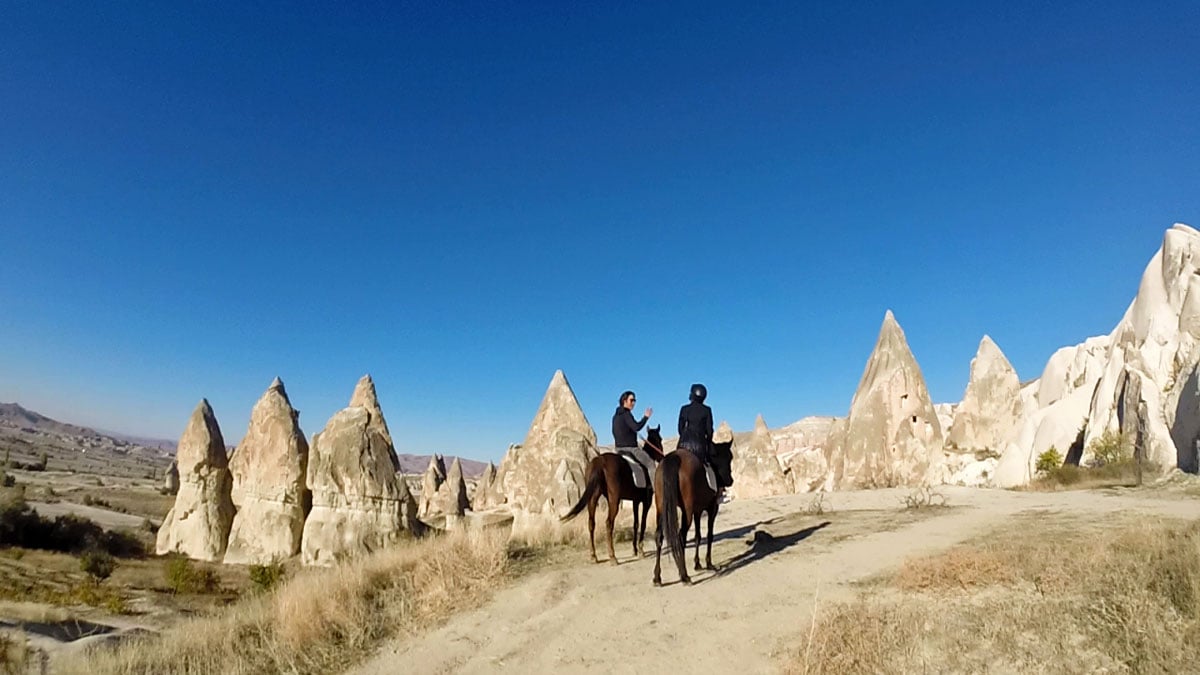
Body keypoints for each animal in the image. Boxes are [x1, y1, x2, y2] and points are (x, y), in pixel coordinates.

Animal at [561, 425, 667, 562]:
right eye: (660, 439)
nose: (662, 456)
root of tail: (600, 461)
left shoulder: (635, 501)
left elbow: (636, 524)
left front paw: (635, 549)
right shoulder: (646, 502)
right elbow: (642, 524)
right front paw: (641, 550)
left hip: (593, 498)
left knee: (591, 523)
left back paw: (593, 556)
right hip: (614, 501)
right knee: (608, 524)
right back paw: (612, 556)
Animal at [657, 441, 729, 583]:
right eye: (730, 457)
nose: (730, 480)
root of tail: (674, 457)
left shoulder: (697, 511)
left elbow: (698, 536)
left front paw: (697, 564)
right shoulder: (712, 509)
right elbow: (709, 535)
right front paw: (709, 564)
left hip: (661, 509)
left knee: (659, 537)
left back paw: (657, 577)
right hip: (687, 512)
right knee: (680, 537)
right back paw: (684, 575)